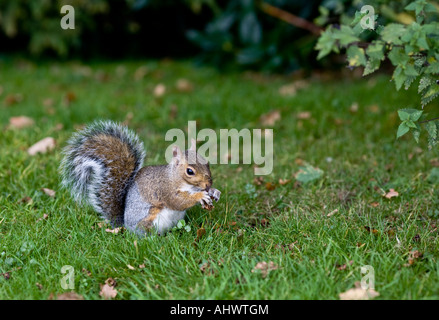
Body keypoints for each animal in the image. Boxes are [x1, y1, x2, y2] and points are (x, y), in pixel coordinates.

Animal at [60, 120, 222, 235]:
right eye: (189, 171)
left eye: (207, 162)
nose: (208, 184)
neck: (177, 179)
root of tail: (125, 225)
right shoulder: (164, 189)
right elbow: (177, 201)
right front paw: (200, 196)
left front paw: (214, 192)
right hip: (149, 218)